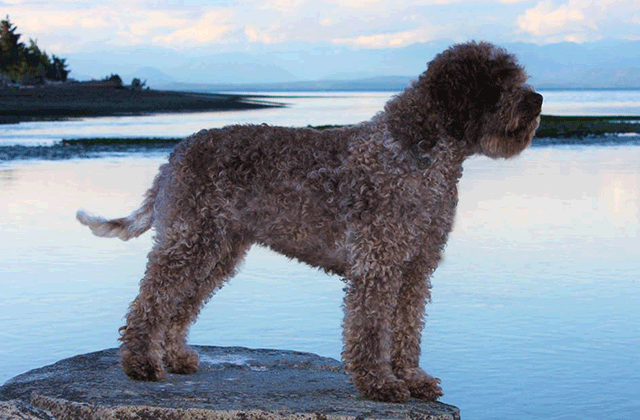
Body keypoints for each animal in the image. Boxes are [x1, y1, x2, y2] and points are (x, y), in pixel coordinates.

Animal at [77, 41, 544, 402]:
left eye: (515, 75)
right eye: (498, 81)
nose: (537, 99)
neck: (418, 155)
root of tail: (176, 153)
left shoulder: (416, 267)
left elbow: (407, 329)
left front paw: (412, 379)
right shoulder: (378, 262)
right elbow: (371, 329)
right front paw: (379, 384)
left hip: (218, 250)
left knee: (181, 304)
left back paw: (175, 357)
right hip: (190, 241)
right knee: (151, 300)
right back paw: (140, 364)